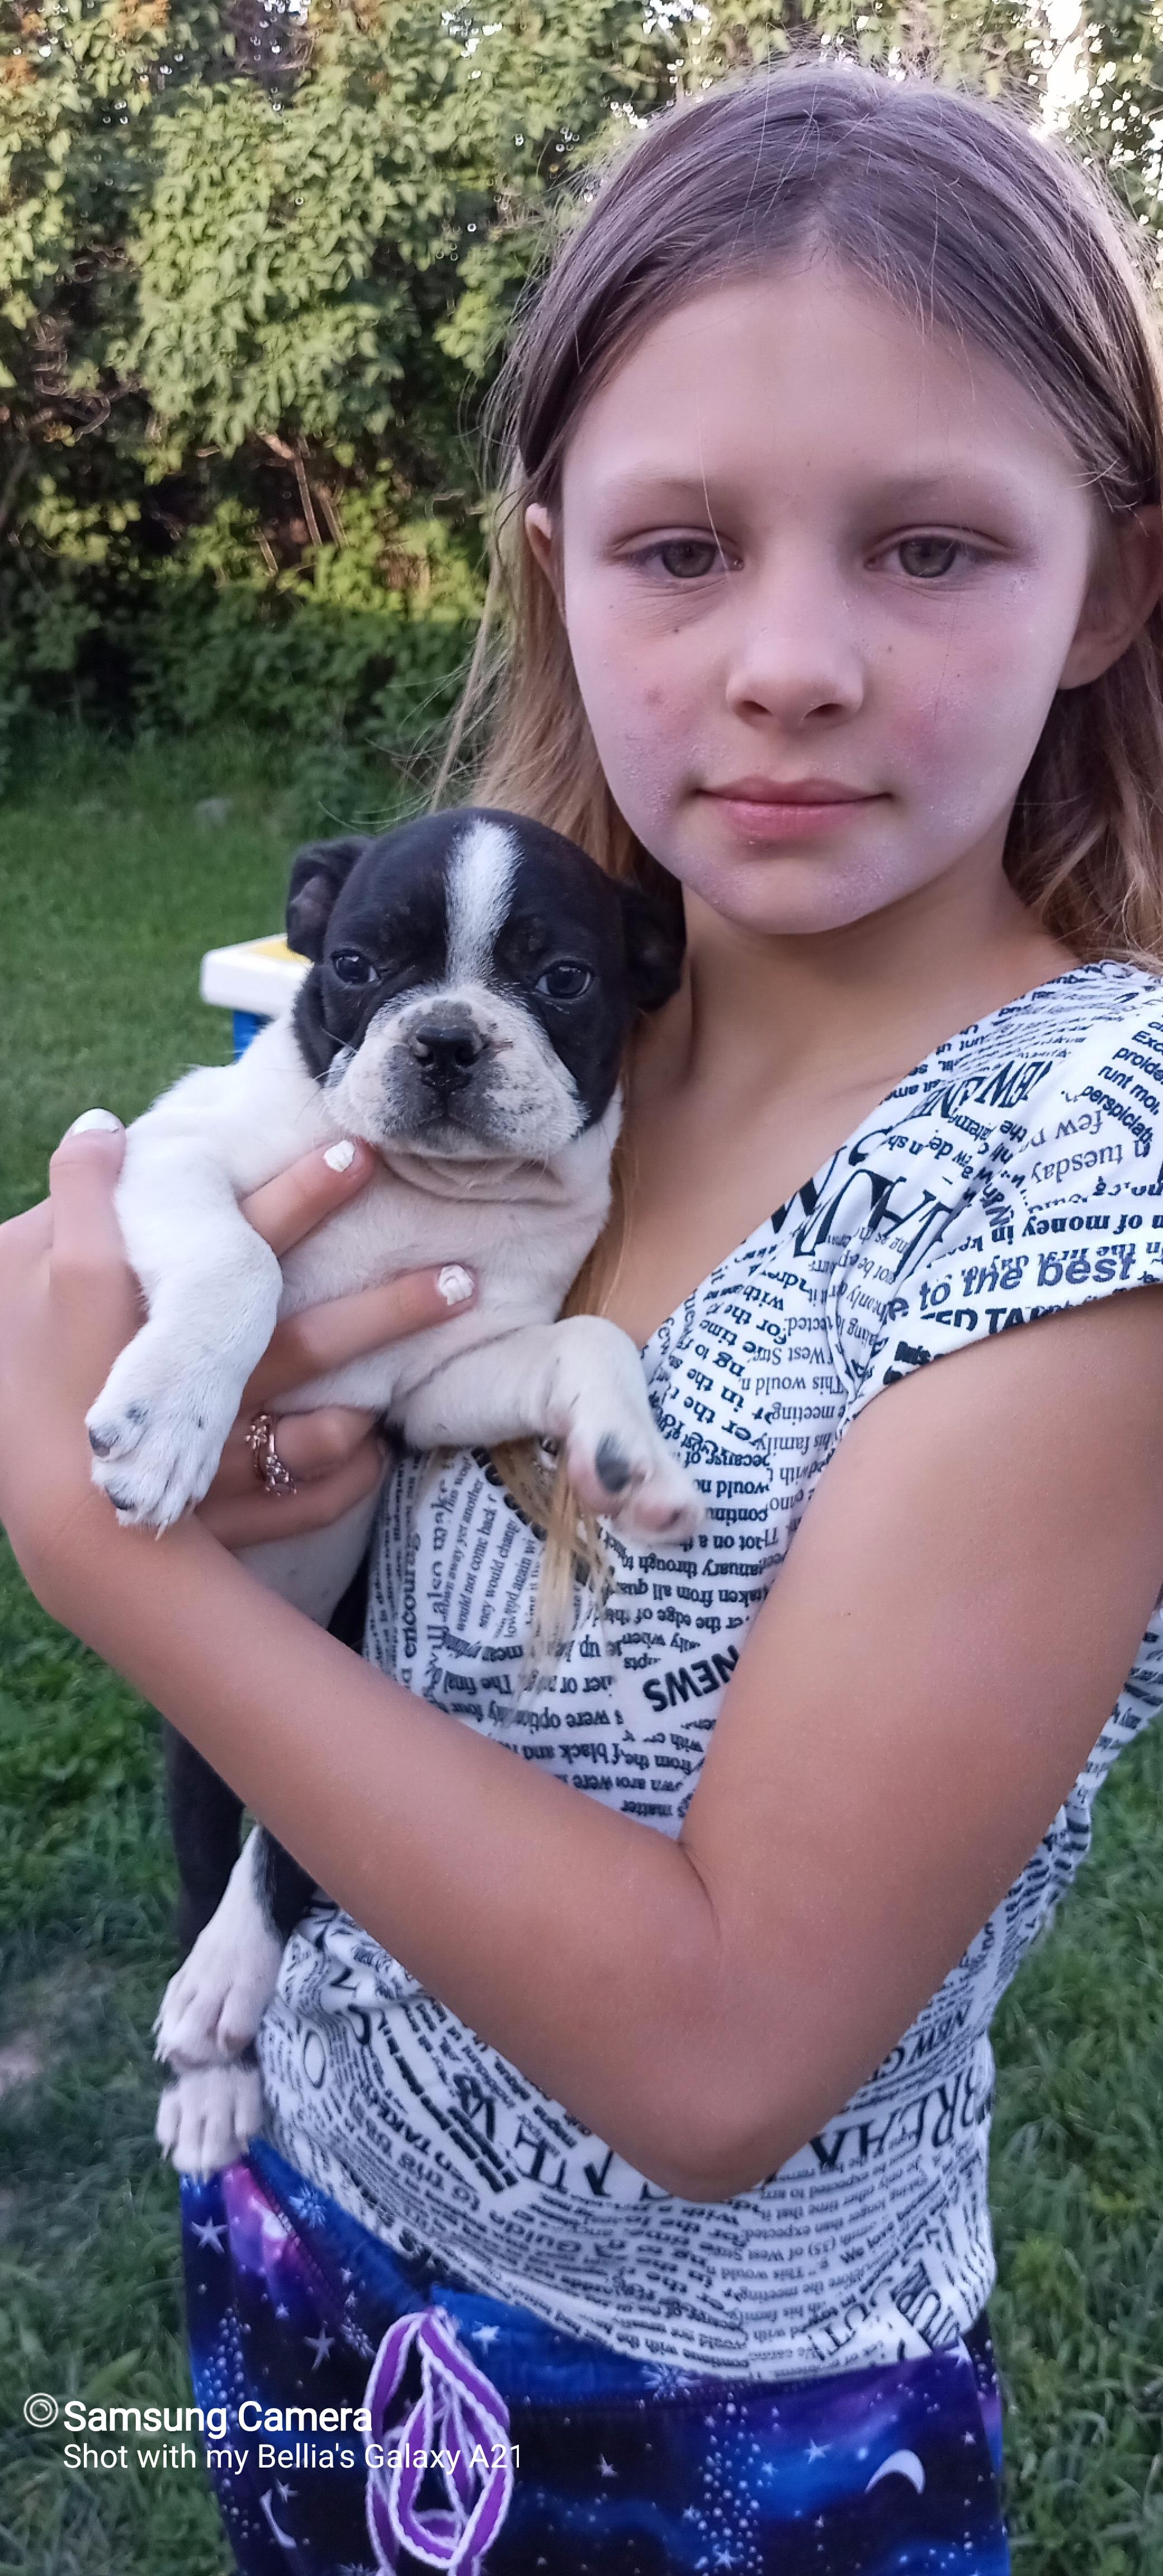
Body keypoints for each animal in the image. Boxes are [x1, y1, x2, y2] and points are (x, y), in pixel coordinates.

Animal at [86, 807, 703, 2175]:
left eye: (562, 980)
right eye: (360, 967)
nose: (447, 1037)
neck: (424, 1195)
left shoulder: (449, 1375)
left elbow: (582, 1343)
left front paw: (624, 1453)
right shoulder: (171, 1152)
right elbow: (245, 1262)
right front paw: (170, 1424)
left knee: (285, 1841)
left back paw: (229, 1991)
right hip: (202, 1746)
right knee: (212, 1866)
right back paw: (206, 2069)